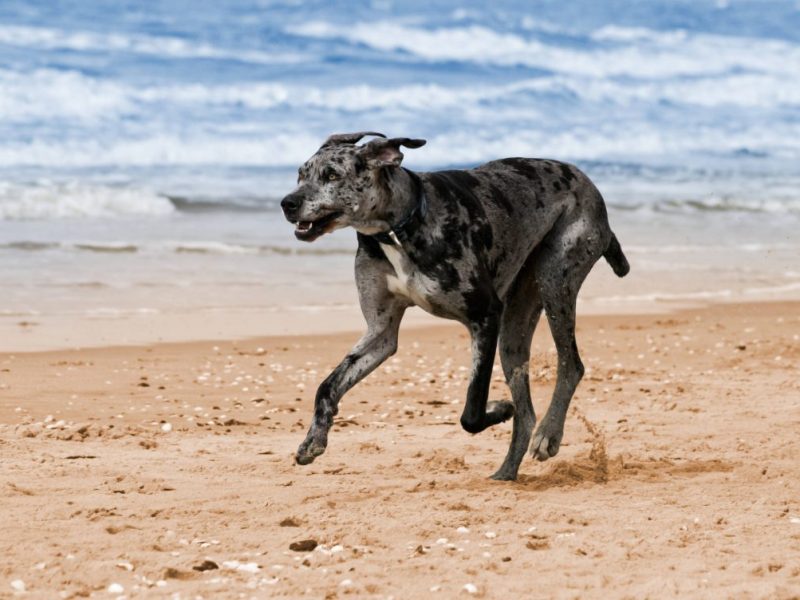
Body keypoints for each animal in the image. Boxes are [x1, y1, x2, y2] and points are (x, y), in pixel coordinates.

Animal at [280, 132, 629, 480]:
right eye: (300, 174)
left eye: (332, 175)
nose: (287, 203)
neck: (400, 226)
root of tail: (588, 184)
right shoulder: (381, 333)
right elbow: (328, 385)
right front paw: (313, 440)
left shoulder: (485, 316)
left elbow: (472, 411)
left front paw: (499, 408)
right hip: (514, 326)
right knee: (527, 411)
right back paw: (505, 474)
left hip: (556, 280)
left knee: (571, 365)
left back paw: (548, 435)